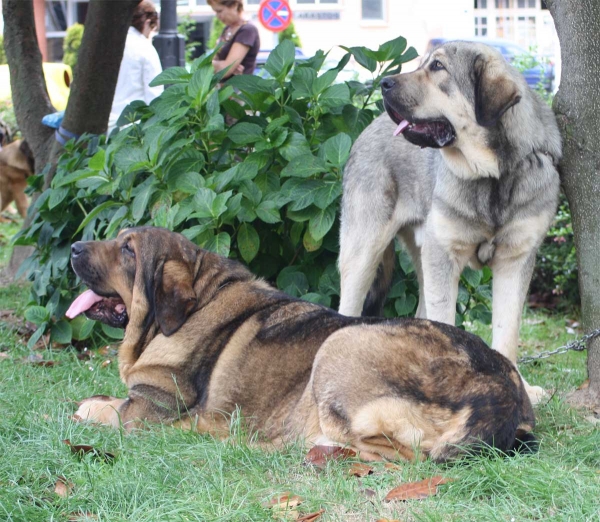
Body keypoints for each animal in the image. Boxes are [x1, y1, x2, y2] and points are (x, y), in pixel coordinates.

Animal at [67, 226, 536, 460]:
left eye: (128, 250)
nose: (73, 247)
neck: (198, 299)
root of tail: (501, 390)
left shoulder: (145, 409)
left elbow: (94, 408)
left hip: (339, 344)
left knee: (391, 454)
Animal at [338, 41, 564, 402]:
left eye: (438, 67)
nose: (385, 83)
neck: (493, 176)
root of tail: (368, 126)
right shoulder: (443, 255)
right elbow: (445, 322)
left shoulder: (515, 261)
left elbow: (507, 332)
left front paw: (520, 388)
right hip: (363, 253)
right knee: (348, 307)